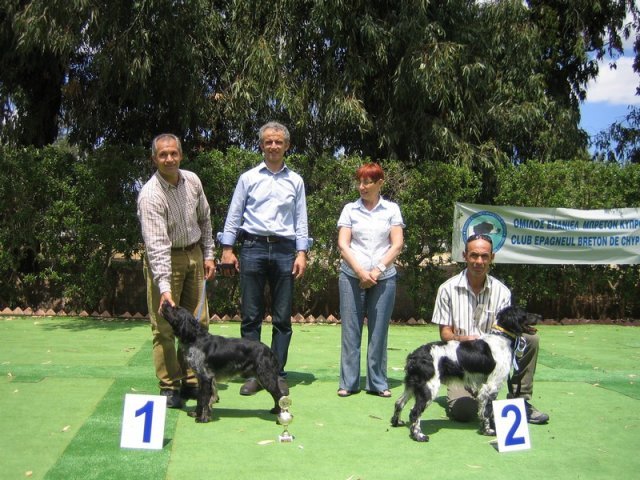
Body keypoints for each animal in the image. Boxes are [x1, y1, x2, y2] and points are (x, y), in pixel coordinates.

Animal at [390, 308, 540, 442]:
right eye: (524, 313)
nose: (540, 315)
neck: (502, 338)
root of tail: (414, 356)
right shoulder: (490, 386)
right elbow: (487, 411)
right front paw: (488, 431)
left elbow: (485, 410)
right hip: (429, 388)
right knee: (414, 412)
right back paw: (419, 436)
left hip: (412, 385)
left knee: (399, 403)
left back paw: (397, 422)